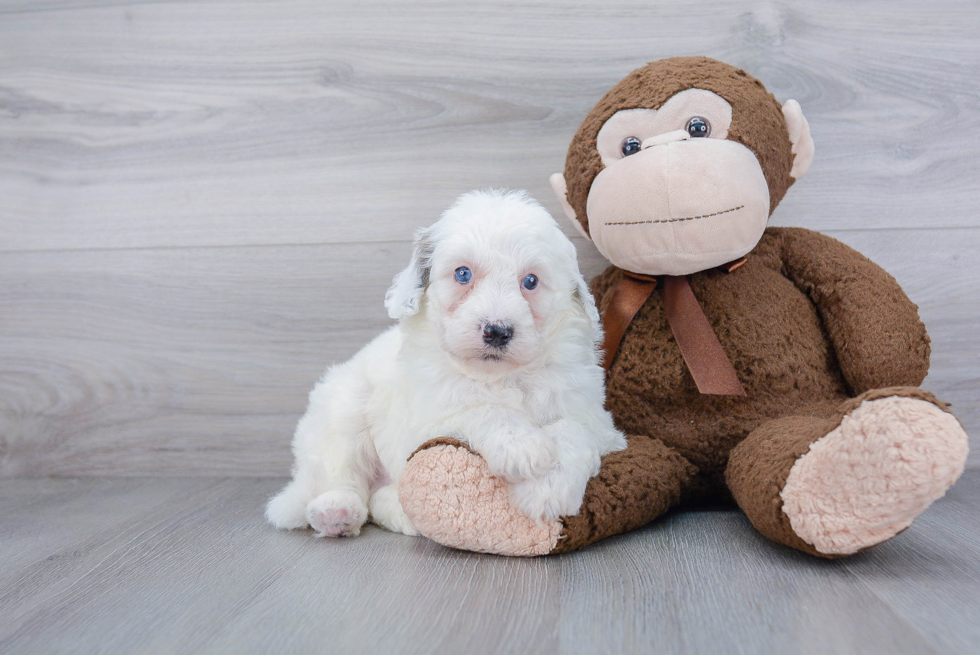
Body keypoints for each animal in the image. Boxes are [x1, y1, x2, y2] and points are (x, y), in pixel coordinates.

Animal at [264, 190, 624, 540]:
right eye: (463, 274)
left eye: (531, 281)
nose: (497, 331)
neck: (501, 377)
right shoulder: (426, 422)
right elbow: (480, 410)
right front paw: (523, 448)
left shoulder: (599, 422)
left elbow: (573, 429)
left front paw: (547, 489)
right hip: (344, 409)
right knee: (345, 474)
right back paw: (336, 512)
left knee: (377, 498)